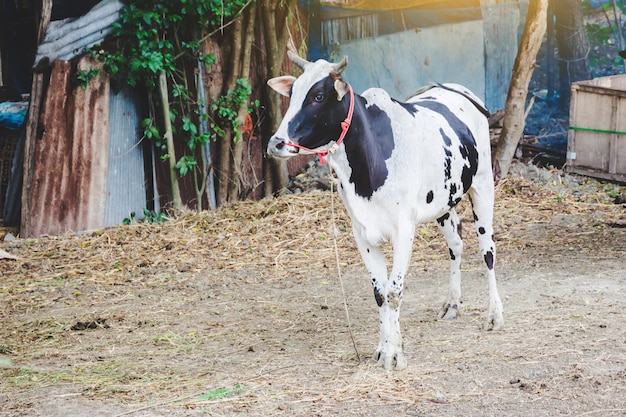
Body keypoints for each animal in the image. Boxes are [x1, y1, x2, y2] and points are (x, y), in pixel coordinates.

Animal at [264, 50, 502, 368]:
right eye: (292, 94)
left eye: (318, 96)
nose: (276, 143)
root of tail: (458, 89)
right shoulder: (362, 233)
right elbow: (379, 292)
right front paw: (382, 347)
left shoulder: (404, 230)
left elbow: (394, 291)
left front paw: (395, 354)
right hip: (442, 203)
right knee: (456, 244)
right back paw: (452, 303)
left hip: (483, 185)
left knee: (487, 250)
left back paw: (495, 314)